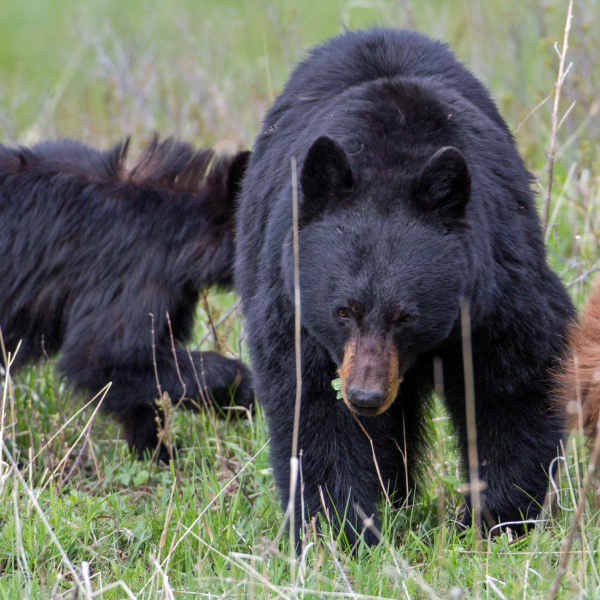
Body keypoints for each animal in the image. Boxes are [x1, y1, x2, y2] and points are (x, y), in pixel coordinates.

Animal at [233, 29, 572, 548]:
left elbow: (513, 382)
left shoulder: (495, 287)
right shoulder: (293, 303)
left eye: (407, 316)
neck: (389, 154)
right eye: (343, 310)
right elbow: (313, 408)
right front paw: (339, 529)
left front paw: (498, 520)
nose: (365, 396)